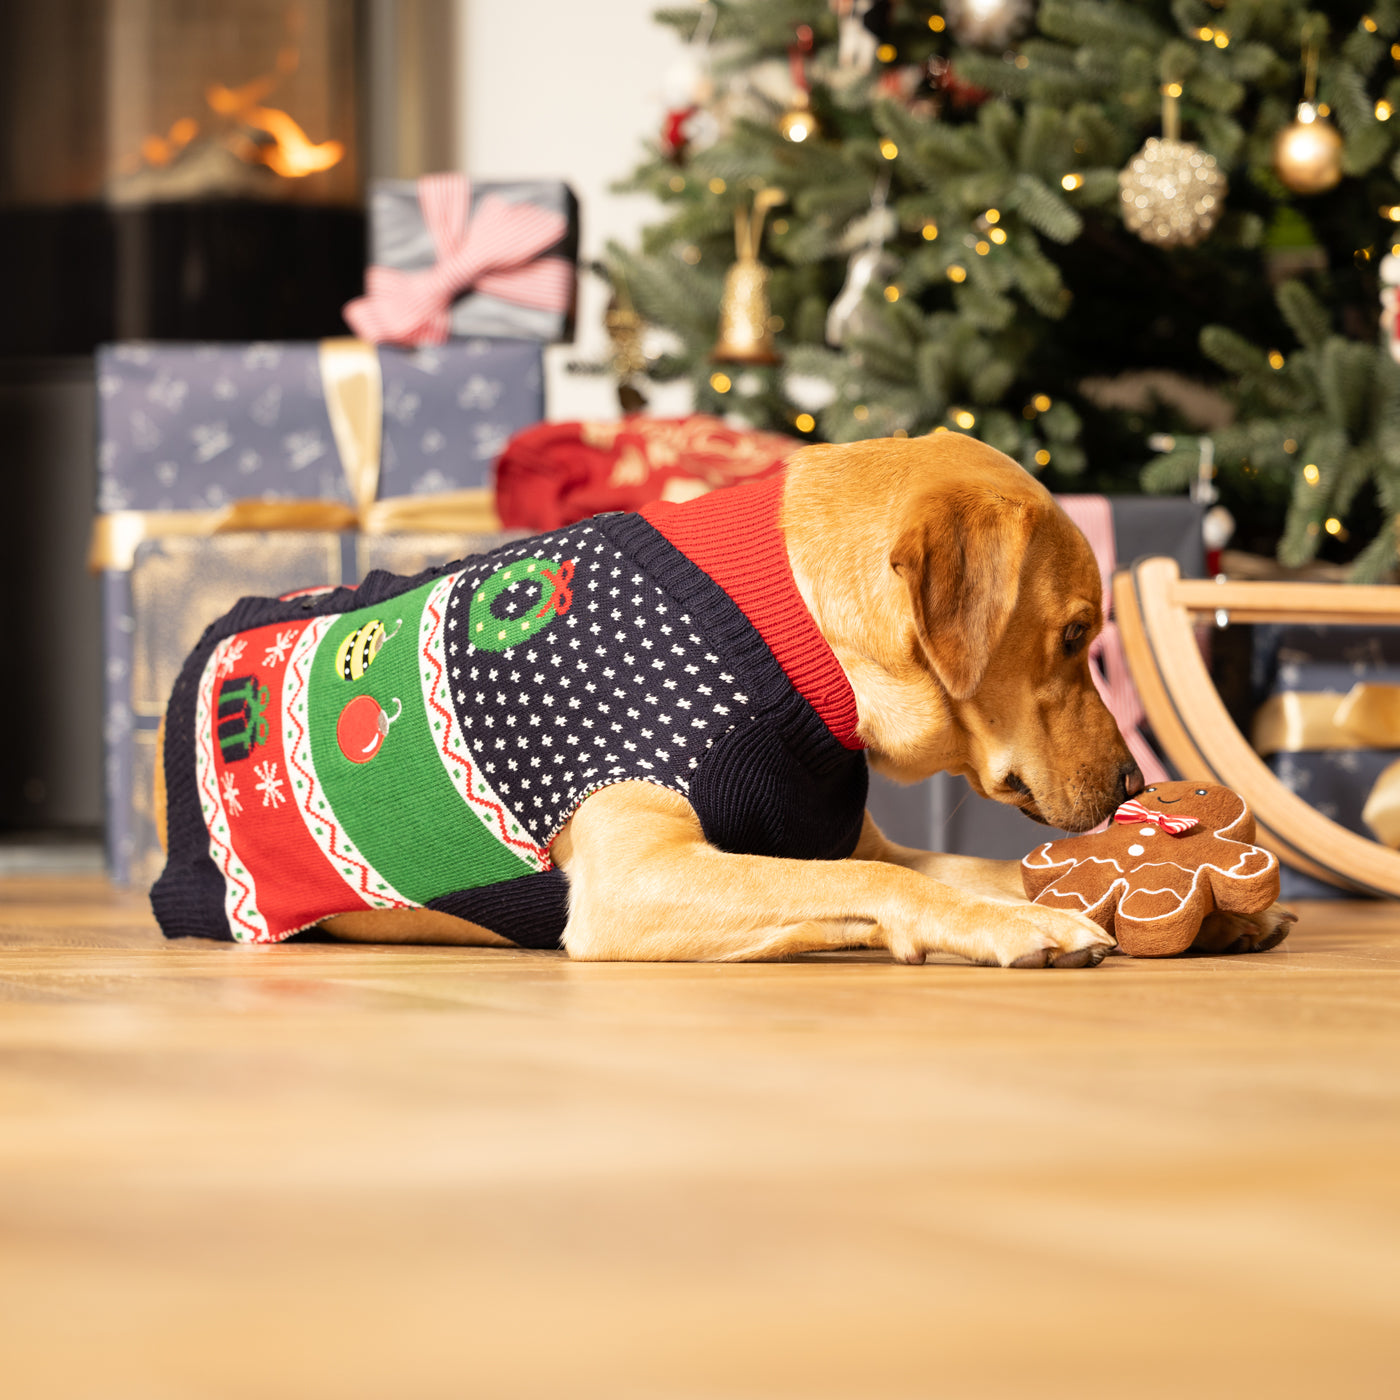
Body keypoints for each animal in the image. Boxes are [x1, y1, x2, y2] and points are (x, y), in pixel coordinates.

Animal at [153, 432, 1293, 966]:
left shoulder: (843, 840)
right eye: (1069, 636)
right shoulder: (634, 879)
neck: (799, 633)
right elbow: (894, 885)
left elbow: (968, 867)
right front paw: (1018, 927)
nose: (1138, 783)